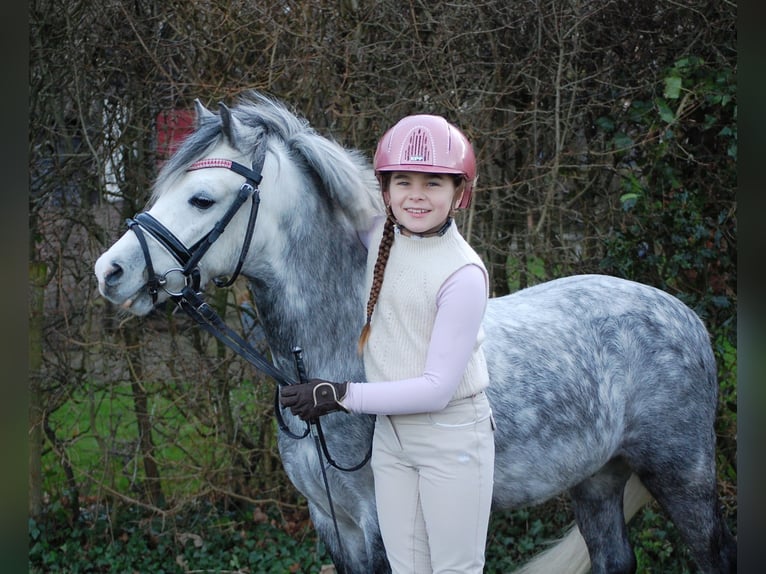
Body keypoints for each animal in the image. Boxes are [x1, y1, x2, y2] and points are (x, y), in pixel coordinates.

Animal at [96, 92, 736, 572]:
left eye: (202, 198)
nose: (111, 271)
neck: (333, 360)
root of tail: (684, 316)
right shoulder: (335, 524)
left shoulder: (381, 523)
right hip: (598, 480)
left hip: (684, 477)